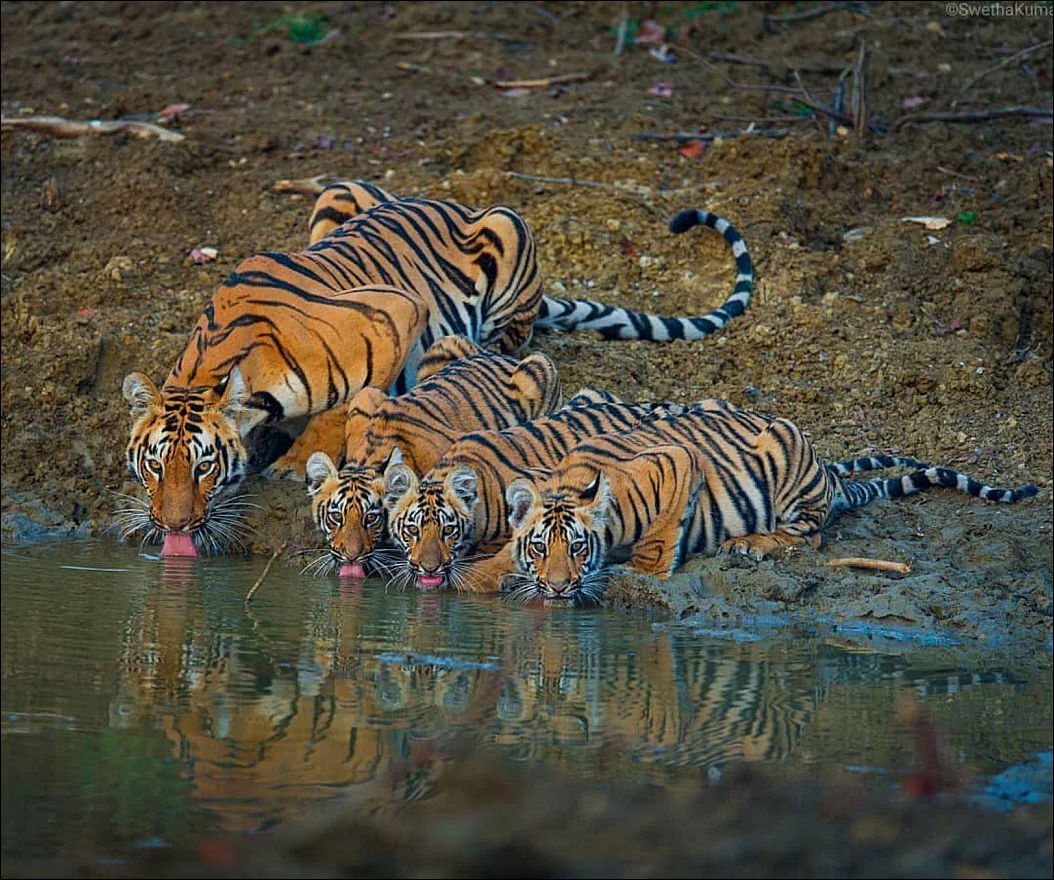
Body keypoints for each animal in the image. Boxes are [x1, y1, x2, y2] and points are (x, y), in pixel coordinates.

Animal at [303, 335, 560, 577]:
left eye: (371, 518)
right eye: (335, 517)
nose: (351, 556)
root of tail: (500, 355)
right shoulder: (365, 397)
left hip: (539, 368)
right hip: (443, 344)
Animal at [493, 400, 1037, 602]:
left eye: (578, 547)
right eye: (539, 547)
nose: (558, 588)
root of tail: (828, 474)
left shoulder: (677, 462)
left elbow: (660, 537)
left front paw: (643, 573)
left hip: (786, 449)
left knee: (809, 536)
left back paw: (749, 544)